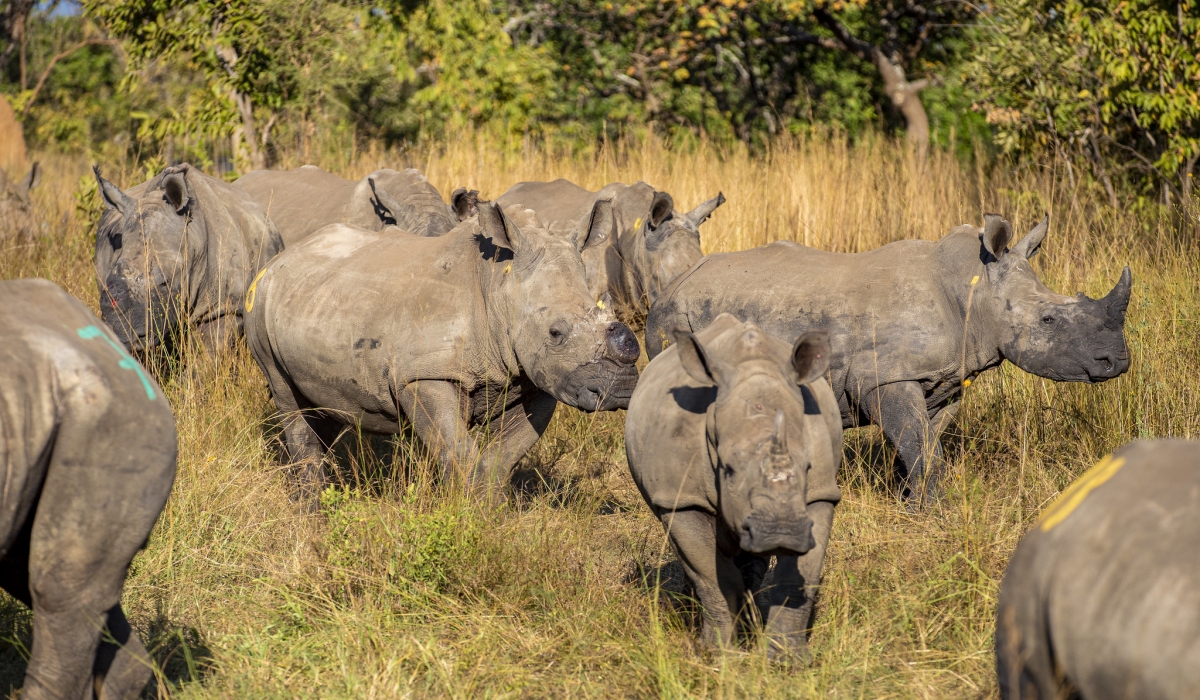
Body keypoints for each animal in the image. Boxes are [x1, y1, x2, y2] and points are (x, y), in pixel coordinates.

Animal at [244, 201, 641, 499]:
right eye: (555, 332)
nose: (621, 388)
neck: (500, 285)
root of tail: (279, 259)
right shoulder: (426, 376)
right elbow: (460, 456)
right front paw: (468, 518)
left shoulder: (537, 379)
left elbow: (502, 459)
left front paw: (488, 515)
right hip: (258, 307)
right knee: (288, 398)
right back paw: (312, 510)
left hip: (315, 300)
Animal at [625, 313, 841, 658]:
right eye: (728, 469)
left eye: (807, 467)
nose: (781, 533)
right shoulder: (682, 499)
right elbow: (715, 579)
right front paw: (717, 654)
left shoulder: (820, 494)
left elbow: (799, 578)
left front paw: (787, 660)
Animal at [647, 214, 1132, 504]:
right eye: (1048, 320)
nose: (1118, 361)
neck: (973, 290)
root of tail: (670, 287)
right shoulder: (883, 378)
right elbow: (920, 448)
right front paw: (935, 515)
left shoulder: (944, 382)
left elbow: (923, 447)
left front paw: (912, 508)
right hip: (675, 321)